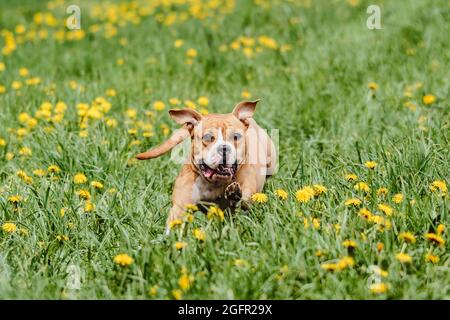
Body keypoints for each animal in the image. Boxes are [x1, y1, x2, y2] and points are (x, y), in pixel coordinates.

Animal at [136, 101, 278, 234]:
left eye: (236, 136)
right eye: (208, 137)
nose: (224, 148)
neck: (215, 183)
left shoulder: (246, 198)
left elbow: (243, 203)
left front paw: (234, 194)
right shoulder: (179, 207)